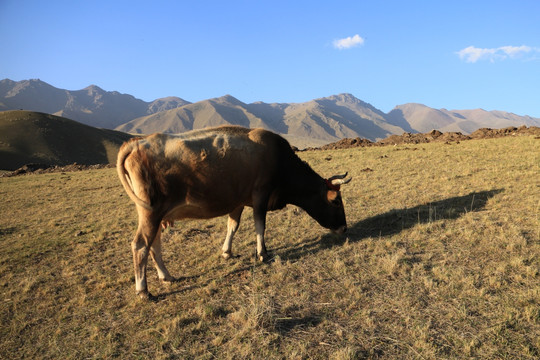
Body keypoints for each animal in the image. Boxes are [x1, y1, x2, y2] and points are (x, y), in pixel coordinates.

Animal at [117, 125, 350, 300]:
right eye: (336, 201)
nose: (344, 228)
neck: (281, 161)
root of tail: (136, 143)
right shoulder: (260, 194)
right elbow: (260, 225)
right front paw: (263, 253)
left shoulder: (238, 201)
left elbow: (233, 226)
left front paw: (227, 251)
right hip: (151, 212)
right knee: (141, 245)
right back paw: (143, 290)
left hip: (155, 215)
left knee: (154, 244)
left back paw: (166, 276)